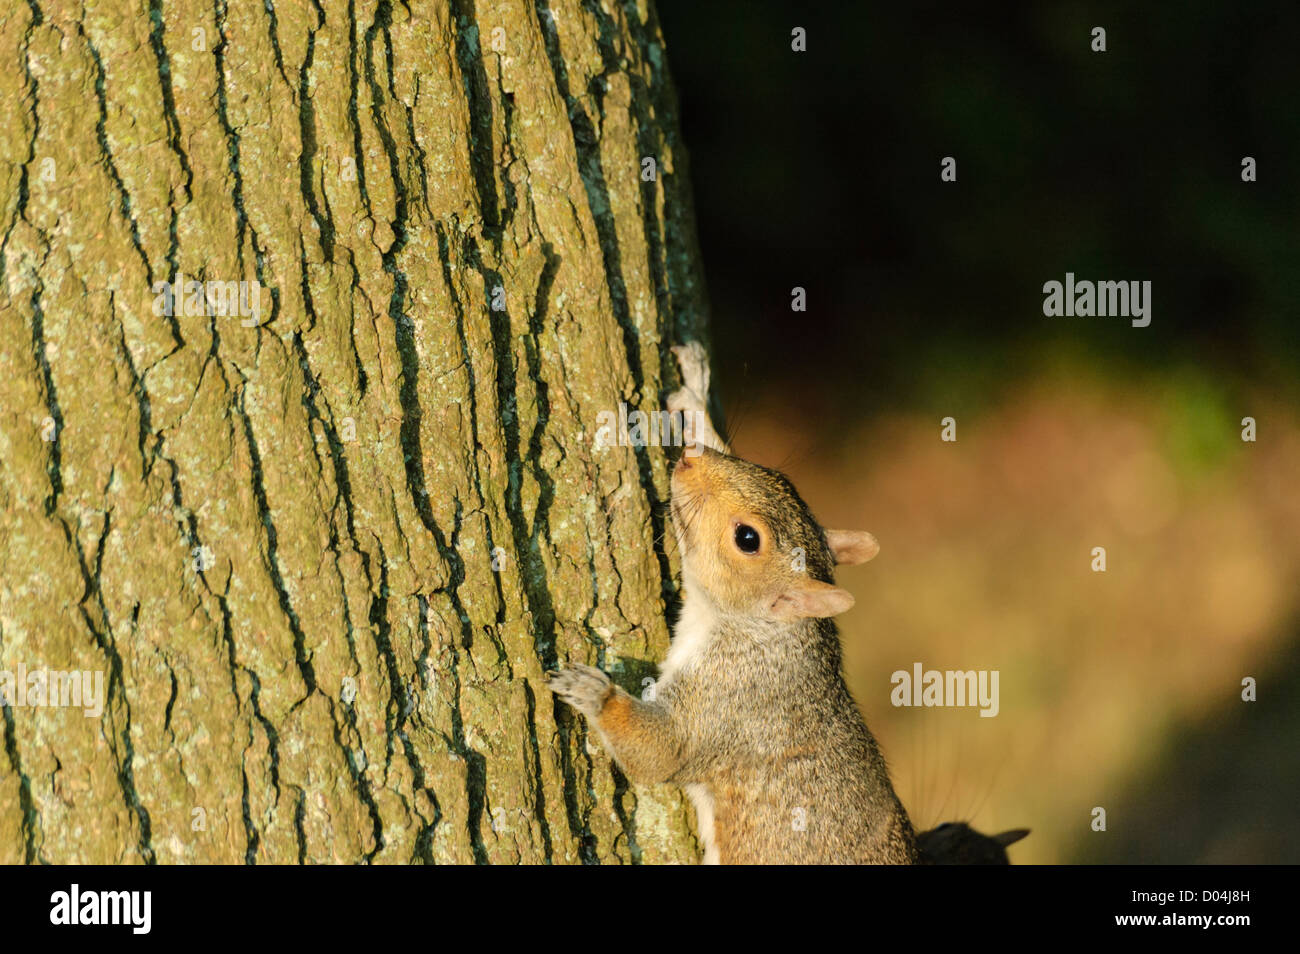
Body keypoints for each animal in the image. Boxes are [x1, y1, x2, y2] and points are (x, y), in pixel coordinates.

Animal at [546, 345, 915, 868]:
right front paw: (695, 394)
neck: (755, 630)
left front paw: (593, 692)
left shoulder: (729, 703)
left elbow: (662, 751)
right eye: (777, 475)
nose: (687, 461)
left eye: (747, 538)